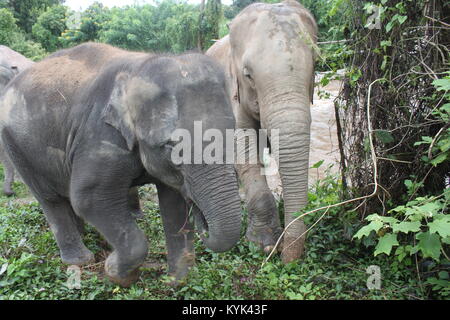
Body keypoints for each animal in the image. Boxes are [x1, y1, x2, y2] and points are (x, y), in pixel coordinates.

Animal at [0, 42, 243, 284]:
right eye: (171, 146)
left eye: (233, 132)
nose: (204, 224)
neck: (138, 69)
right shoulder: (99, 136)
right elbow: (88, 198)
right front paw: (116, 273)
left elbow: (173, 203)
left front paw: (174, 281)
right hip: (16, 145)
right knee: (50, 199)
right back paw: (80, 260)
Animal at [206, 0, 318, 262]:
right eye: (248, 75)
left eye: (316, 65)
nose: (286, 260)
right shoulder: (231, 92)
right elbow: (243, 147)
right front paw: (264, 245)